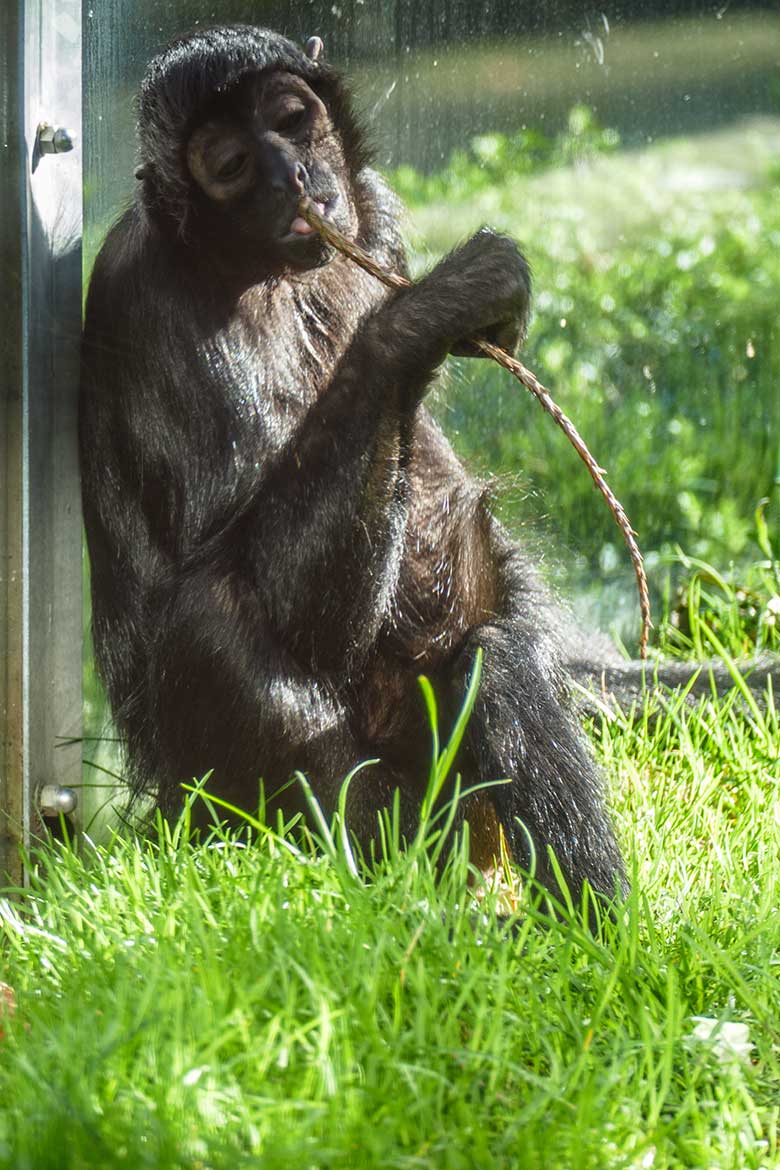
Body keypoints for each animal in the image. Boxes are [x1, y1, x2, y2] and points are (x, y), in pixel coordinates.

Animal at [80, 27, 626, 903]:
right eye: (230, 163)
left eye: (292, 121)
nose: (294, 180)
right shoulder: (145, 292)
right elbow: (273, 595)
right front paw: (422, 316)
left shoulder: (377, 206)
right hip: (214, 805)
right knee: (216, 616)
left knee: (500, 652)